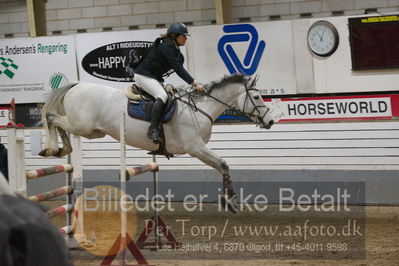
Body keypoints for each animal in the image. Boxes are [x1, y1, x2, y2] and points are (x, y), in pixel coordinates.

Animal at [39, 73, 276, 212]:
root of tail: (76, 86)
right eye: (257, 98)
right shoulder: (195, 147)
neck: (200, 108)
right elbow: (223, 164)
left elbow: (223, 166)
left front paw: (229, 200)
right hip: (82, 126)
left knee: (59, 124)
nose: (270, 121)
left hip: (92, 131)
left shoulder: (197, 148)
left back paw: (61, 149)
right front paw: (230, 201)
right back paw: (51, 148)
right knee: (51, 117)